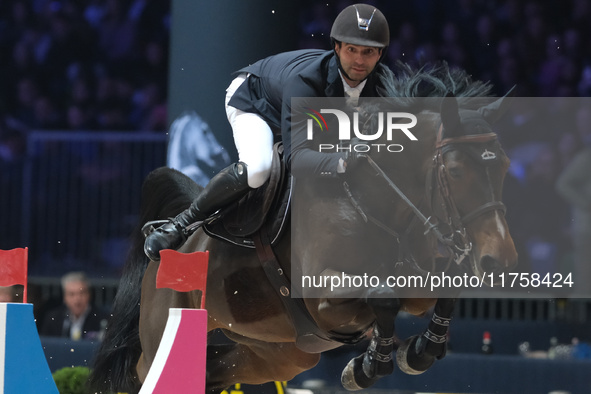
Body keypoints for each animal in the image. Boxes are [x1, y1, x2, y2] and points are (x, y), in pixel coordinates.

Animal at [89, 63, 520, 392]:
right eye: (456, 171)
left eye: (502, 165)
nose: (499, 260)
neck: (375, 205)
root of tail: (171, 250)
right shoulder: (325, 296)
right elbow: (382, 296)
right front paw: (369, 365)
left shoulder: (416, 284)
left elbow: (441, 290)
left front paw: (415, 353)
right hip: (166, 333)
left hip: (277, 355)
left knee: (214, 371)